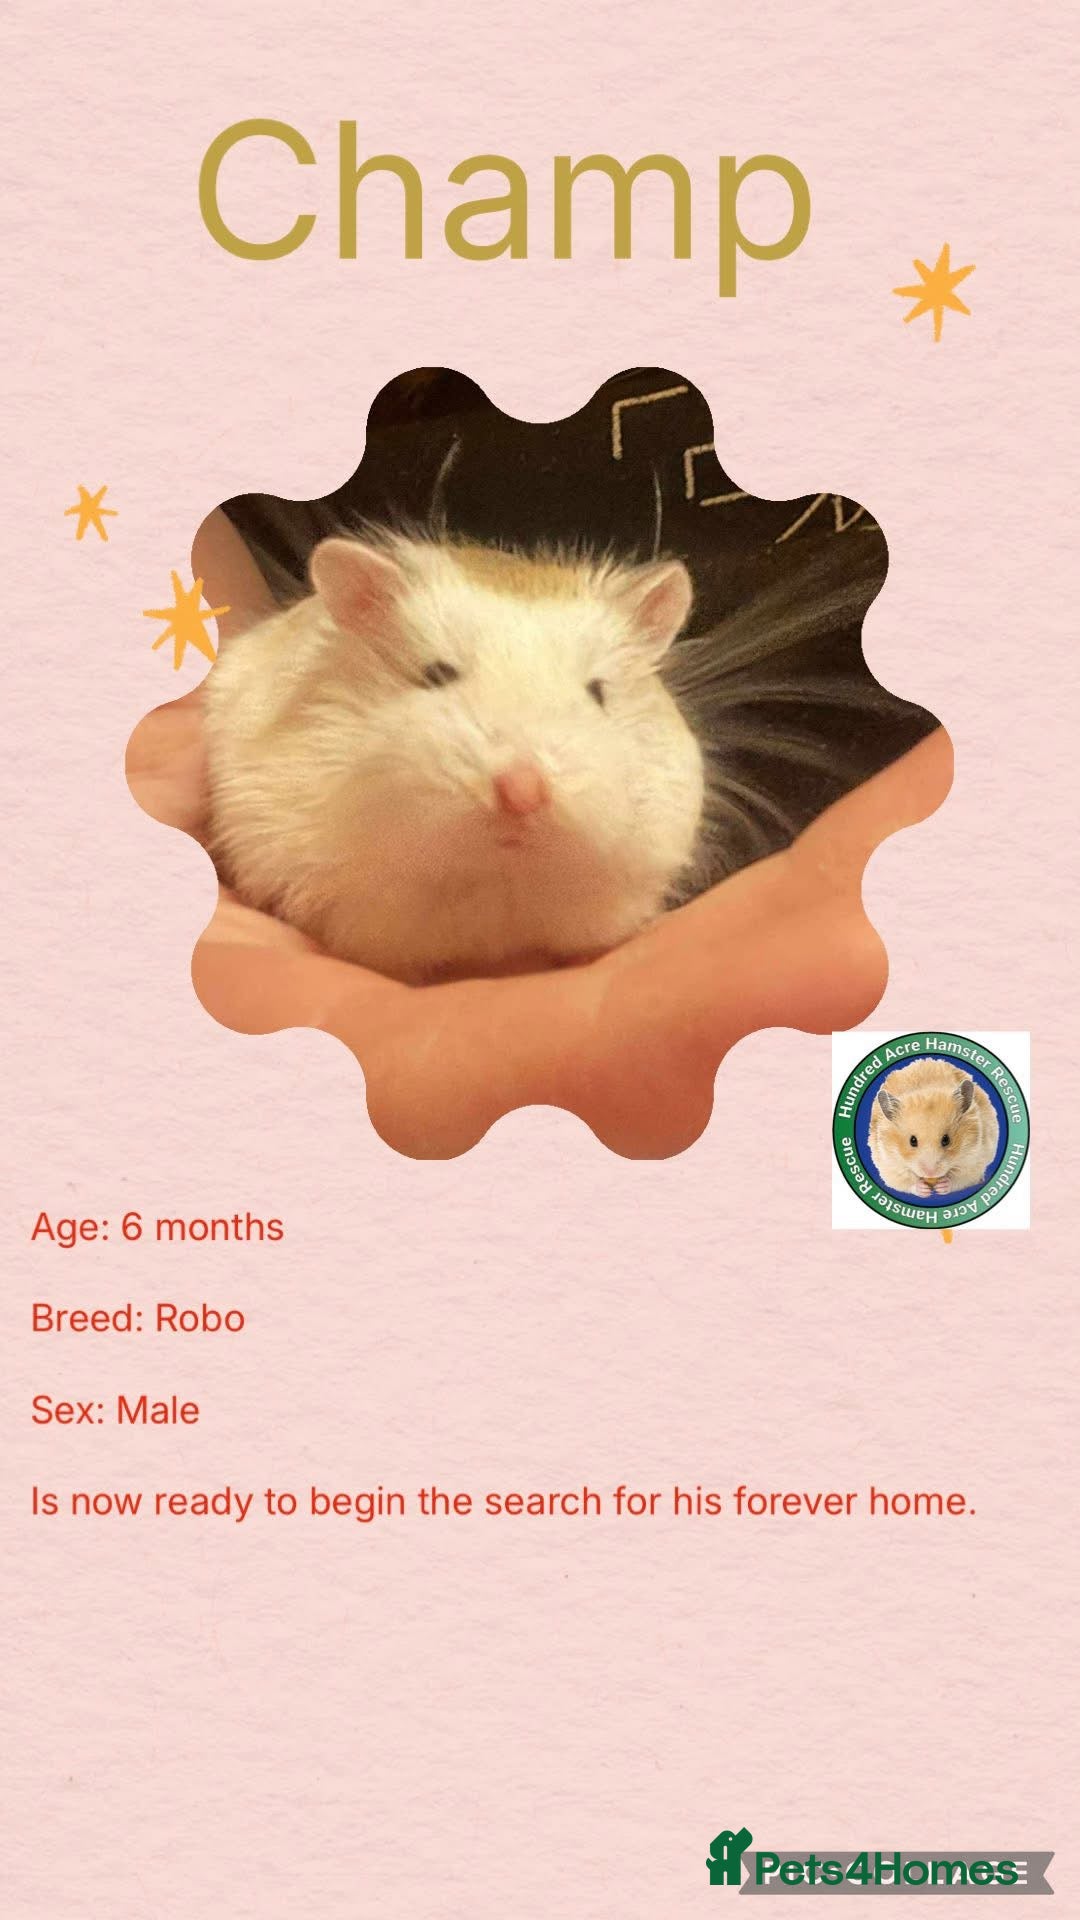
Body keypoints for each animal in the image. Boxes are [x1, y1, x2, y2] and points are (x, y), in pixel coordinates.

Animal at [867, 1058, 999, 1197]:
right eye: (912, 1141)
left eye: (946, 1140)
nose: (930, 1173)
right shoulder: (889, 1165)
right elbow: (906, 1182)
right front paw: (924, 1190)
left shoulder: (975, 1159)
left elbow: (960, 1178)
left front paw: (942, 1186)